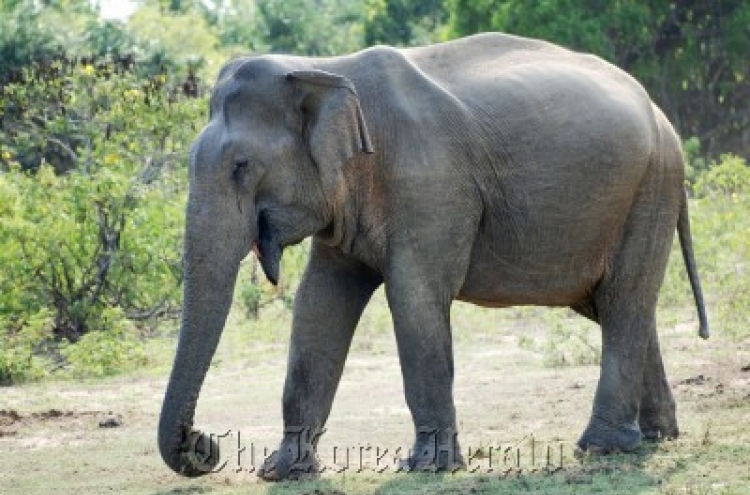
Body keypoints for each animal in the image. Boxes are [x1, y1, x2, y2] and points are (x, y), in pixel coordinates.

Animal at [159, 32, 712, 480]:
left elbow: (415, 297)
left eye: (241, 166)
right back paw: (656, 436)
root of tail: (661, 115)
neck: (323, 68)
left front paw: (426, 467)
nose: (206, 446)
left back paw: (600, 448)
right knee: (616, 306)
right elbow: (319, 304)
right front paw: (282, 472)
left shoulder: (429, 185)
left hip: (651, 187)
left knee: (623, 300)